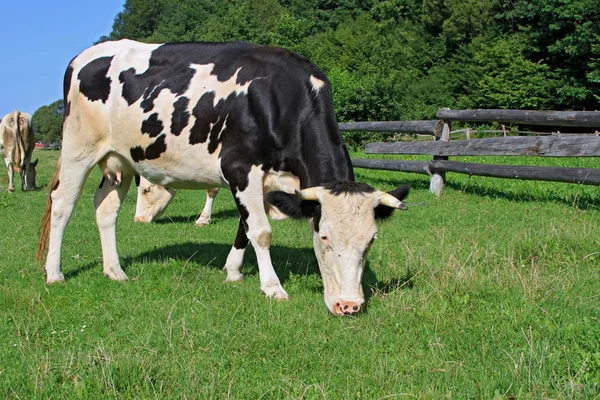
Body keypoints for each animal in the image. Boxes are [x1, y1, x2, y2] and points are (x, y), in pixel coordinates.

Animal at [35, 40, 408, 316]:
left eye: (371, 241)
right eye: (324, 236)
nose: (349, 306)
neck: (279, 97)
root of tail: (83, 55)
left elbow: (245, 225)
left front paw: (233, 271)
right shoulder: (240, 167)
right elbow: (261, 231)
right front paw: (272, 287)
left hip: (121, 161)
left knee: (106, 209)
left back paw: (115, 271)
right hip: (78, 149)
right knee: (62, 205)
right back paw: (54, 273)